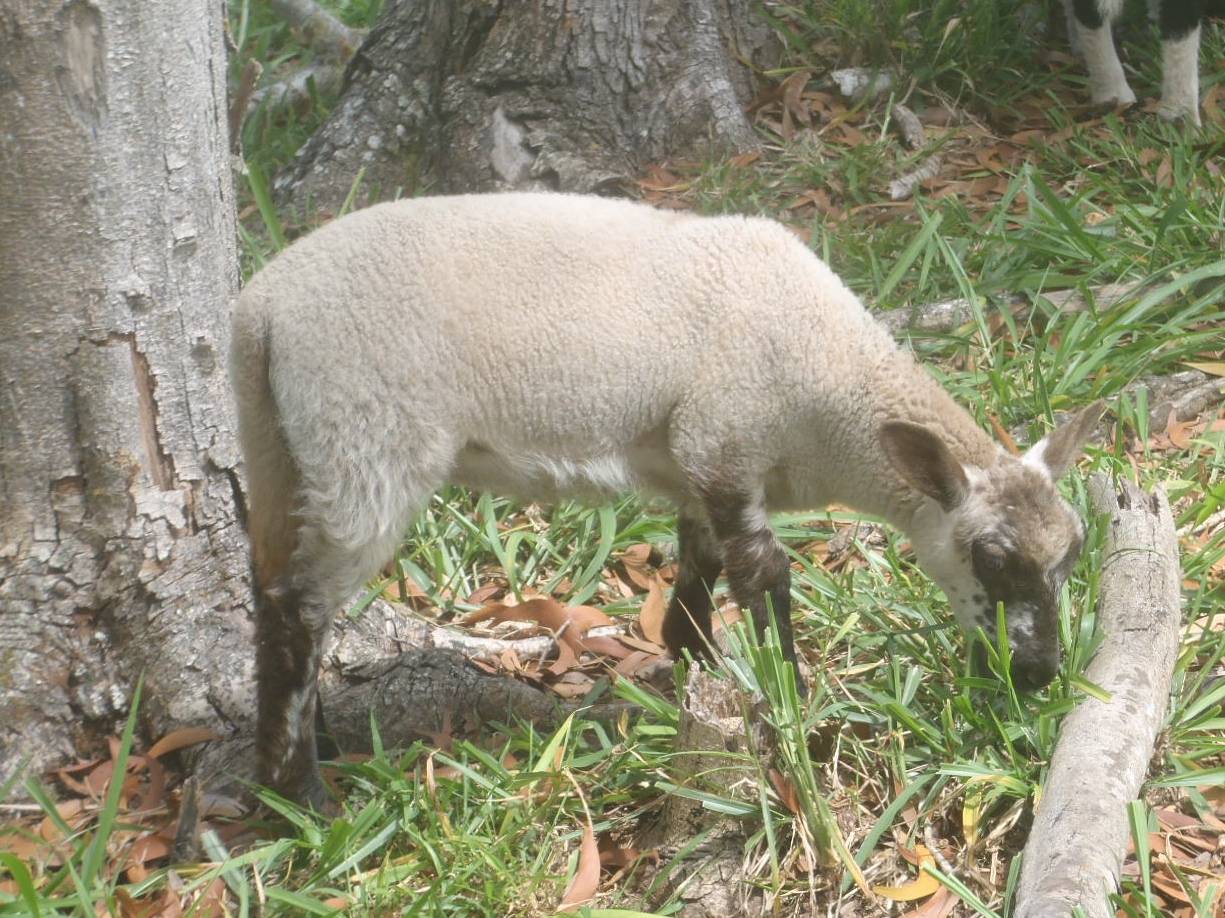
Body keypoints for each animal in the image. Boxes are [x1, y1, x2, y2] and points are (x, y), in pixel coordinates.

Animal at [227, 191, 1102, 804]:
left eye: (1075, 552)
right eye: (991, 557)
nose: (1037, 675)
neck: (830, 389)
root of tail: (259, 310)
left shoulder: (696, 462)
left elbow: (697, 564)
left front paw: (693, 667)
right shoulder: (727, 440)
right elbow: (764, 576)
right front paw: (787, 705)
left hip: (284, 446)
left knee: (271, 584)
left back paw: (307, 750)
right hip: (365, 438)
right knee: (303, 604)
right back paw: (301, 794)